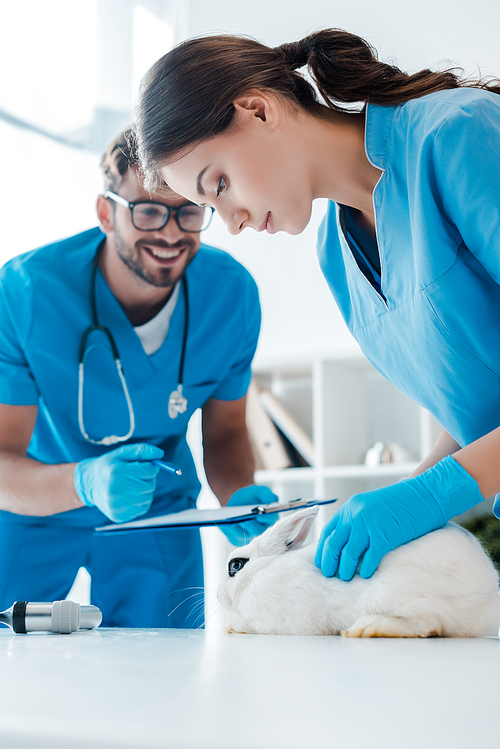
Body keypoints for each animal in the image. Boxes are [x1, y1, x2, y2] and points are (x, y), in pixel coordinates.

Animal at [218, 502, 500, 636]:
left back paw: (365, 629)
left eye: (236, 565)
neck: (260, 572)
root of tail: (487, 599)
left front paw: (232, 626)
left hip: (393, 595)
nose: (219, 597)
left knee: (429, 625)